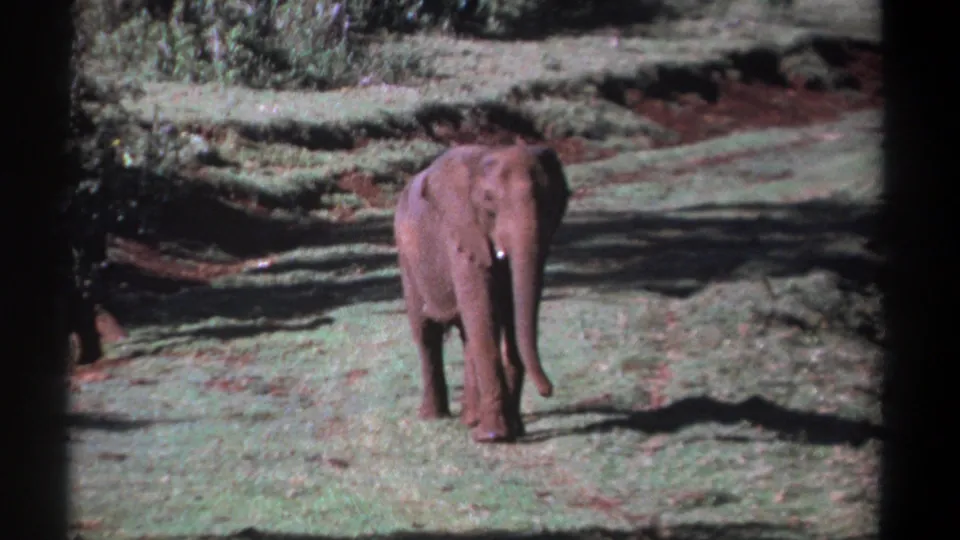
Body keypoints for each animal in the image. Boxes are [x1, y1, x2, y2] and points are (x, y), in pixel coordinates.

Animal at [393, 142, 571, 443]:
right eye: (488, 200)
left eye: (548, 199)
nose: (548, 390)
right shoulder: (462, 233)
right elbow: (482, 309)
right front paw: (493, 437)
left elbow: (508, 308)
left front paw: (511, 430)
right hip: (407, 260)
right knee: (426, 333)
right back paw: (433, 417)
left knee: (466, 335)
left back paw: (470, 419)